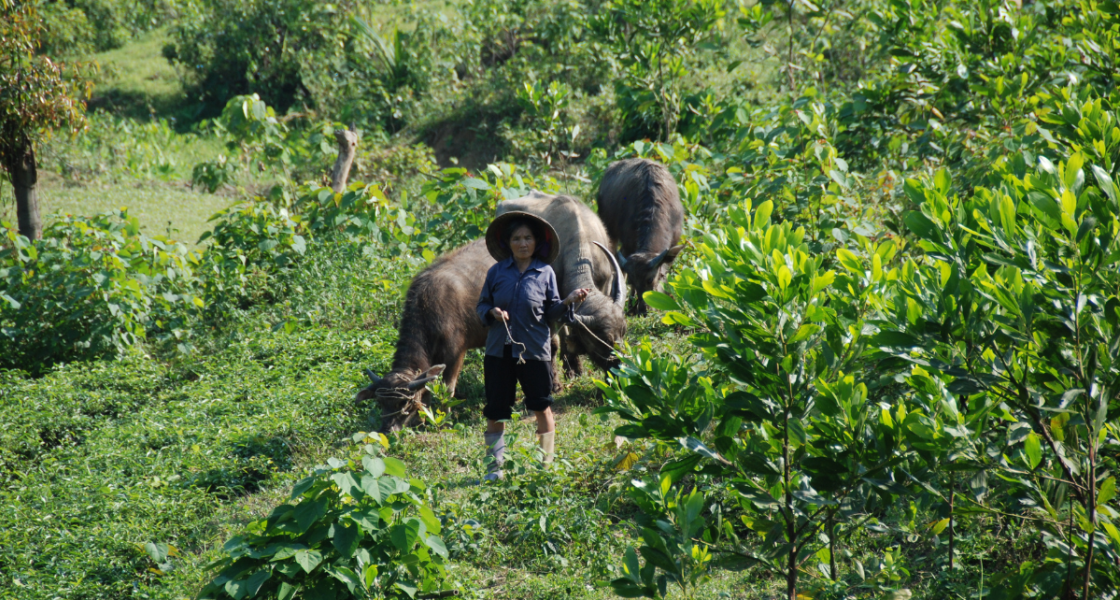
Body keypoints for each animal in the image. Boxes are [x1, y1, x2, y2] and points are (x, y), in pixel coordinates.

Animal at [353, 239, 495, 432]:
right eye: (381, 403)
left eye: (403, 402)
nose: (387, 430)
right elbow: (426, 387)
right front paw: (424, 421)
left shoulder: (456, 354)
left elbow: (447, 390)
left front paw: (446, 421)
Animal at [600, 156, 685, 315]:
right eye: (632, 281)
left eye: (650, 279)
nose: (644, 310)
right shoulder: (629, 245)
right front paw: (631, 306)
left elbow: (664, 271)